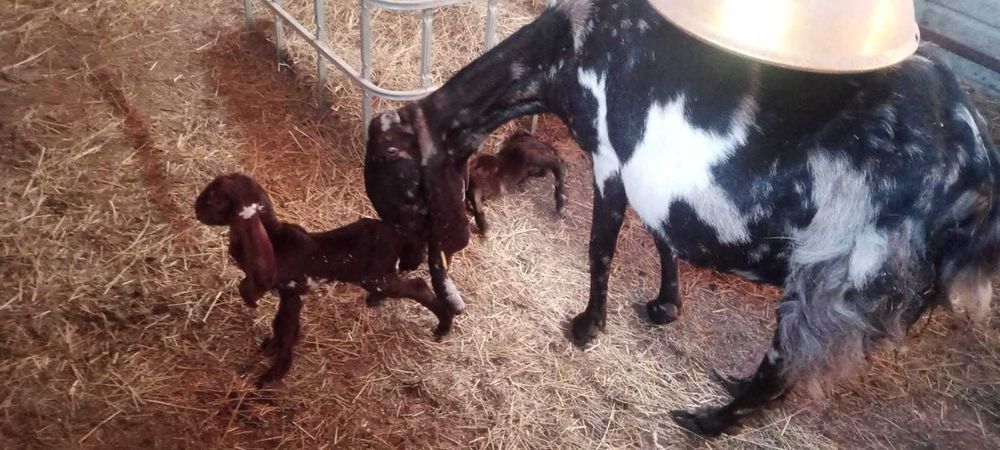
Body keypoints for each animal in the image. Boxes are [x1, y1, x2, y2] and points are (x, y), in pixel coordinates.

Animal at [195, 173, 458, 387]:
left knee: (418, 286)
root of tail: (400, 234)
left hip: (376, 277)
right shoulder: (290, 295)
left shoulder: (291, 291)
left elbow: (286, 326)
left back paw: (443, 325)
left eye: (217, 201)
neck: (275, 240)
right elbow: (283, 324)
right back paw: (376, 300)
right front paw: (273, 347)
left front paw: (274, 373)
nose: (196, 209)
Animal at [362, 0, 1000, 437]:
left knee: (783, 367)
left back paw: (706, 422)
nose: (411, 261)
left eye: (399, 191)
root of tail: (976, 184)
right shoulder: (656, 179)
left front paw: (585, 328)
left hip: (832, 273)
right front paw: (665, 306)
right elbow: (663, 237)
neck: (567, 50)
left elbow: (600, 251)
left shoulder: (610, 162)